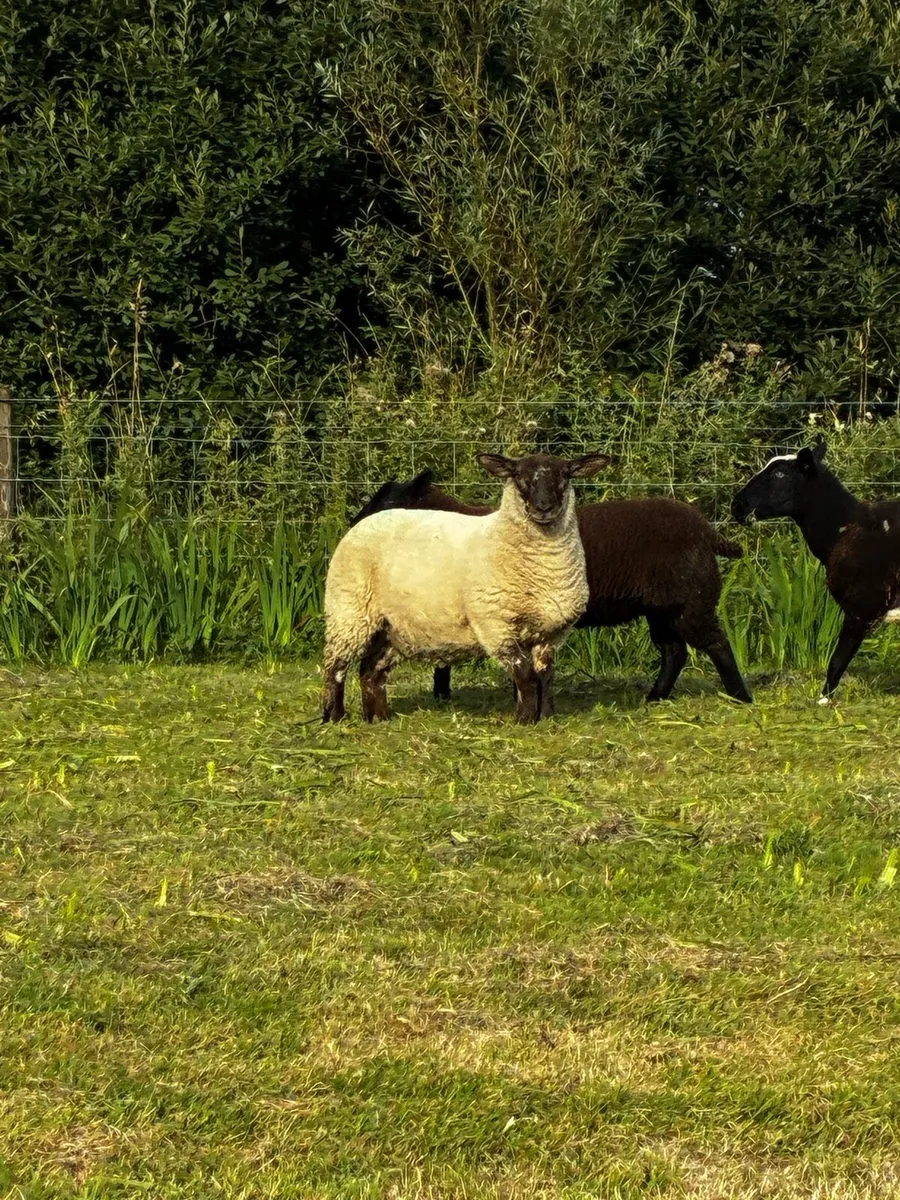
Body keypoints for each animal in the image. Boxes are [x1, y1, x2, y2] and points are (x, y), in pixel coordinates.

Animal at [324, 451, 610, 724]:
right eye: (519, 476)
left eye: (564, 475)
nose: (544, 507)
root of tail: (364, 523)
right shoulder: (496, 625)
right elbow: (525, 675)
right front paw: (525, 719)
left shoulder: (552, 632)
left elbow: (546, 676)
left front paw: (546, 716)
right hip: (349, 610)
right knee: (335, 666)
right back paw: (334, 716)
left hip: (394, 627)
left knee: (371, 671)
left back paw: (377, 718)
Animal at [350, 469, 753, 707]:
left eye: (390, 504)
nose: (352, 529)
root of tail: (707, 532)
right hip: (661, 607)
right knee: (674, 651)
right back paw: (654, 698)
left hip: (690, 599)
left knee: (715, 643)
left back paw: (740, 697)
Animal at [732, 438, 900, 698]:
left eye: (780, 473)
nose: (737, 506)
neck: (844, 526)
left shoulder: (861, 607)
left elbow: (837, 661)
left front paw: (824, 698)